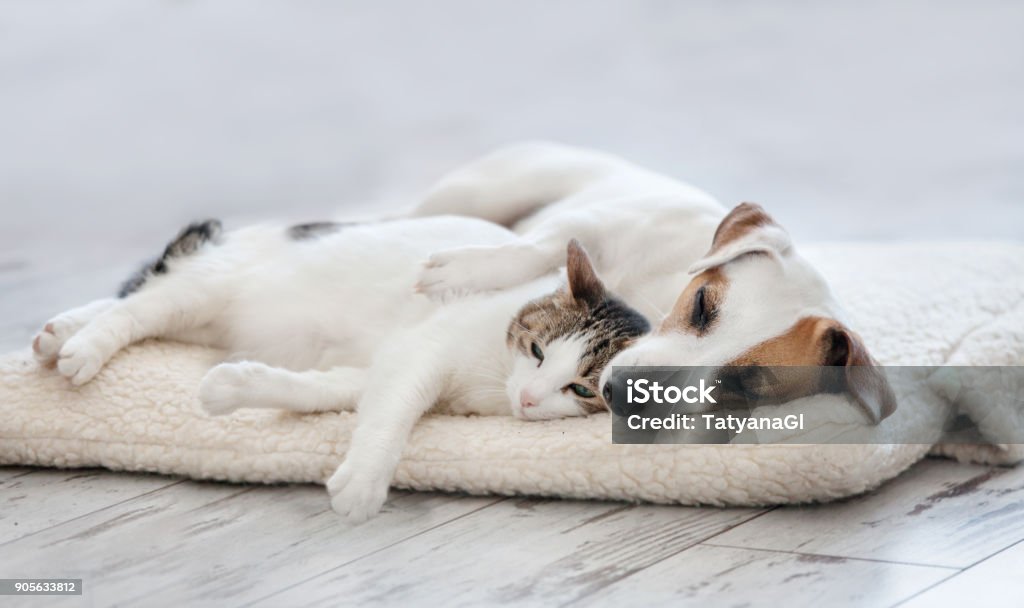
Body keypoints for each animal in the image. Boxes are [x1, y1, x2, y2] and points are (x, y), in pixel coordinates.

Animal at [32, 214, 647, 517]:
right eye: (538, 351)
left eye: (580, 391)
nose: (527, 398)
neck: (492, 384)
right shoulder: (420, 350)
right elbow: (394, 414)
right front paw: (366, 481)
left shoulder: (375, 367)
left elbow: (320, 391)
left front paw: (234, 388)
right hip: (207, 288)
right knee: (135, 308)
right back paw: (81, 346)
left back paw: (58, 333)